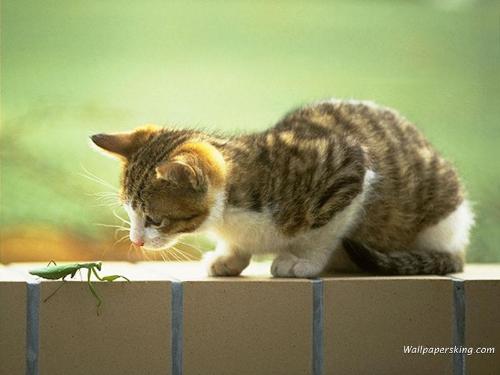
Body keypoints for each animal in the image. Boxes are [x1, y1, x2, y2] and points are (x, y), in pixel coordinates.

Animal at [91, 101, 476, 278]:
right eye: (129, 212)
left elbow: (325, 231)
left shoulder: (351, 170)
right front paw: (230, 256)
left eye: (155, 220)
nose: (136, 241)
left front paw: (303, 260)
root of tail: (457, 245)